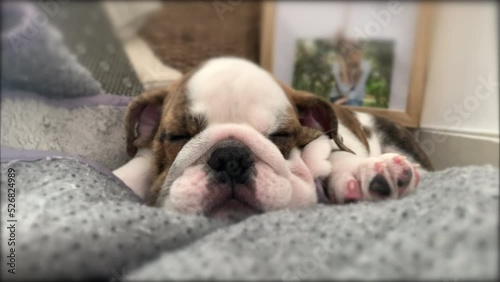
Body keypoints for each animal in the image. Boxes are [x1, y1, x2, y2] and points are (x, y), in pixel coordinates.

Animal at [113, 56, 430, 216]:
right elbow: (136, 166)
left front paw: (366, 170)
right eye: (177, 137)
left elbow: (338, 155)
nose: (230, 157)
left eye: (281, 135)